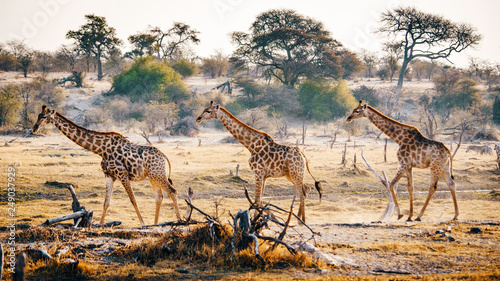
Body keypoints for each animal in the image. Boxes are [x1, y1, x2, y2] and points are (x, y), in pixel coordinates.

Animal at [32, 105, 182, 225]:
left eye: (44, 116)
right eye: (38, 115)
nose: (34, 128)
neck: (101, 149)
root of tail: (165, 157)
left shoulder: (122, 174)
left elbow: (133, 200)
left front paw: (142, 223)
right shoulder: (109, 175)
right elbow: (106, 203)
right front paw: (100, 225)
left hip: (158, 175)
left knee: (172, 191)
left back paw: (180, 220)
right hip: (152, 176)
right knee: (159, 197)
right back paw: (156, 223)